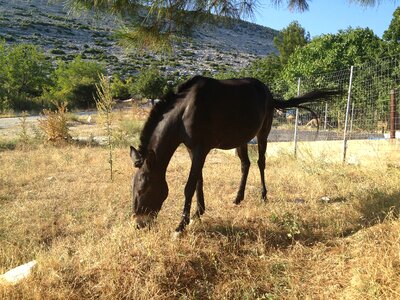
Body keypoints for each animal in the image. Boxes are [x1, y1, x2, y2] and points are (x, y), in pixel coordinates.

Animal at [130, 75, 340, 232]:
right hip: (242, 140)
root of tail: (269, 93)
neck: (185, 111)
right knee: (245, 164)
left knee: (261, 162)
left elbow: (189, 185)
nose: (139, 224)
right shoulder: (192, 149)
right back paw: (238, 198)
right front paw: (199, 212)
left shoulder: (200, 149)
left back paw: (263, 196)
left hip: (263, 134)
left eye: (142, 190)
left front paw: (181, 225)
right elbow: (199, 180)